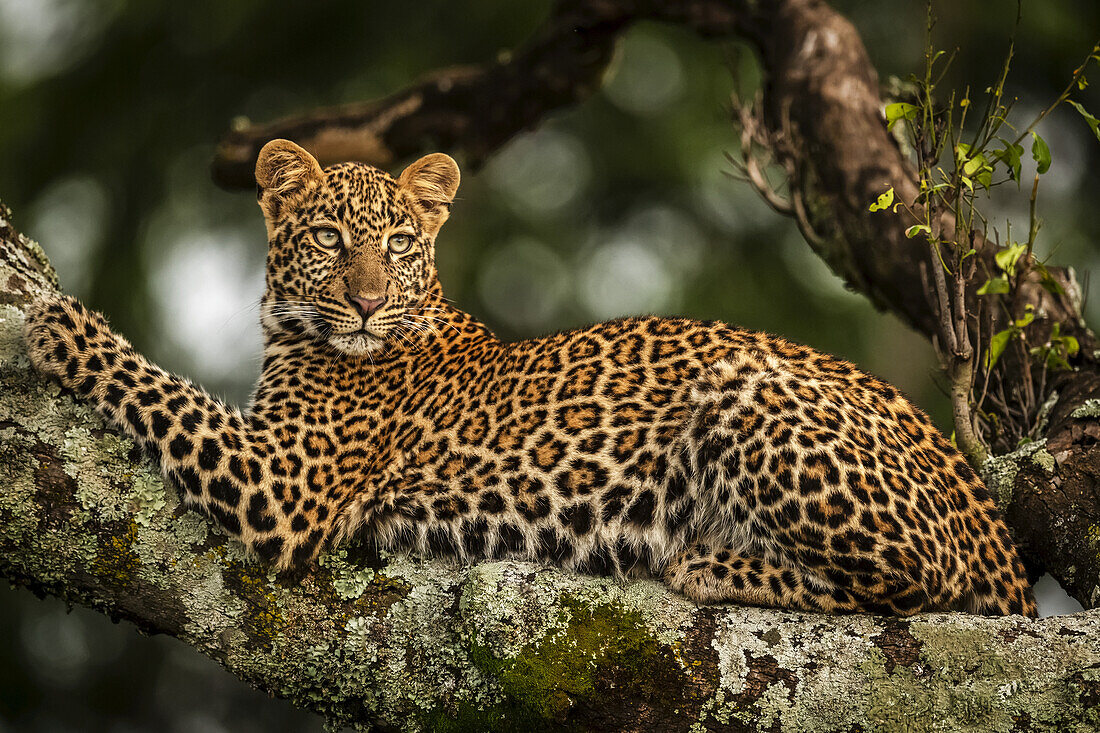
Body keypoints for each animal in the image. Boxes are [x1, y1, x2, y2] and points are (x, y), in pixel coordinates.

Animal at [27, 135, 1038, 611]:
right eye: (330, 239)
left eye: (398, 244)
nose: (365, 302)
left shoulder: (286, 483)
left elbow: (163, 389)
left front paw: (61, 322)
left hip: (743, 384)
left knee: (924, 579)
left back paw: (709, 561)